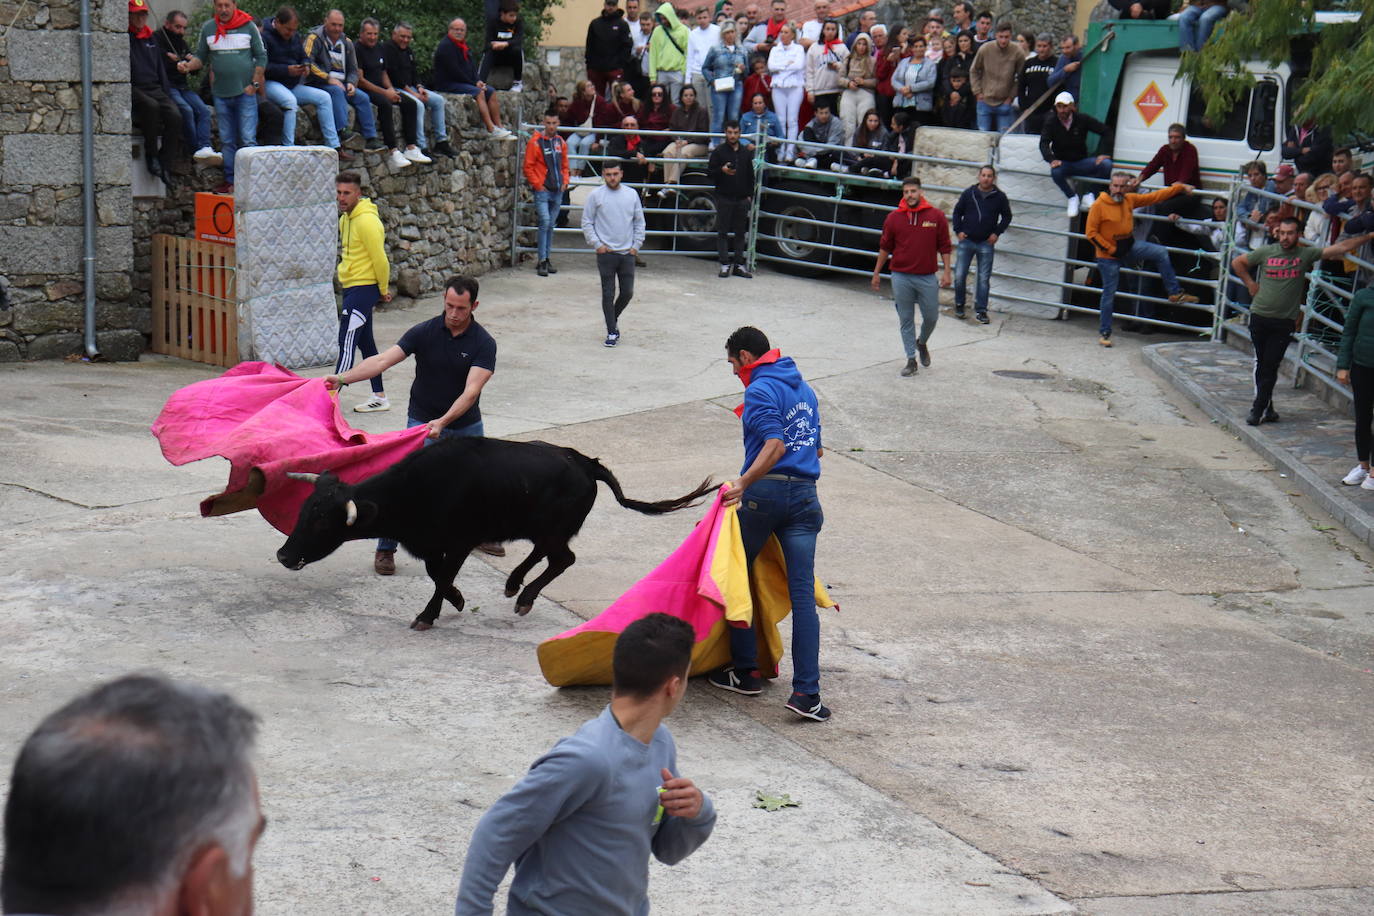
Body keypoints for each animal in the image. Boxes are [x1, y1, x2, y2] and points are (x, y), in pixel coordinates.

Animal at [273, 436, 714, 631]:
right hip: (541, 528)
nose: (283, 556)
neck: (417, 488)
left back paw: (524, 598)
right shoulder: (431, 543)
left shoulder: (460, 541)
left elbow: (442, 575)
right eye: (303, 512)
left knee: (562, 558)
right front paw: (455, 600)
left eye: (321, 521)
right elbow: (437, 573)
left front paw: (429, 615)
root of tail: (585, 462)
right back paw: (513, 585)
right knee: (544, 555)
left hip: (555, 529)